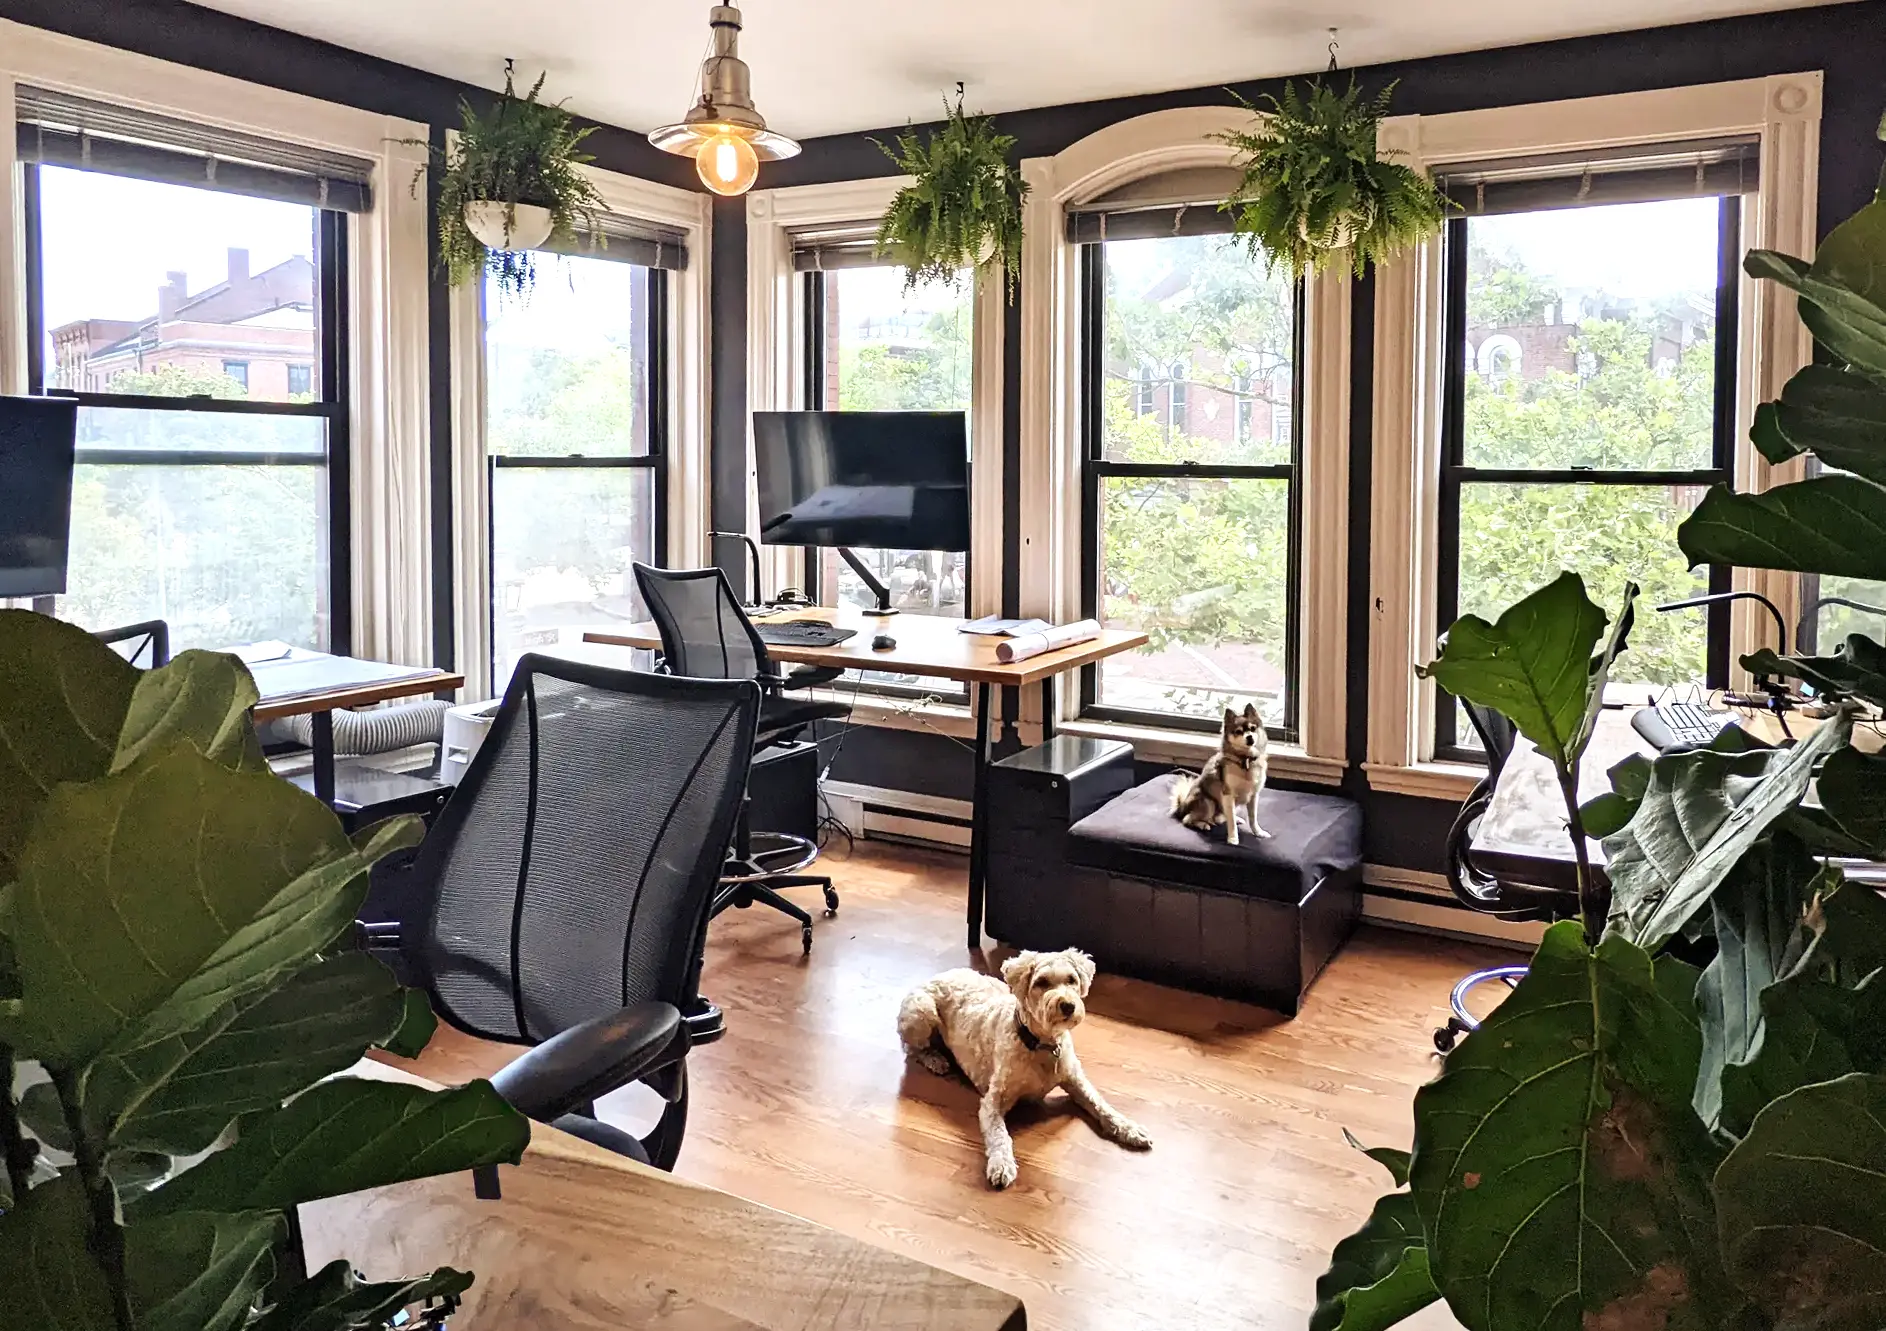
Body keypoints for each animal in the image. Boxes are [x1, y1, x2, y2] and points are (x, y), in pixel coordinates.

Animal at [893, 942, 1146, 1183]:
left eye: (1072, 980)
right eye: (1041, 982)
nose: (1068, 1005)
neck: (1042, 1044)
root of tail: (939, 974)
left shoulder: (1076, 1079)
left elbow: (1100, 1104)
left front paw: (1129, 1128)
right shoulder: (993, 1102)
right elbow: (999, 1134)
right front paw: (1001, 1165)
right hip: (921, 1012)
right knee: (912, 1048)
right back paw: (936, 1059)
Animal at [1169, 701, 1274, 844]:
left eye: (1252, 729)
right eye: (1238, 732)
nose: (1250, 737)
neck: (1245, 760)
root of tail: (1182, 807)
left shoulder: (1253, 796)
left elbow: (1253, 818)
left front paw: (1258, 832)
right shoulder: (1227, 795)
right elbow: (1231, 822)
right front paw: (1233, 839)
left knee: (1219, 818)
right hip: (1209, 803)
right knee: (1188, 819)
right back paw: (1203, 824)